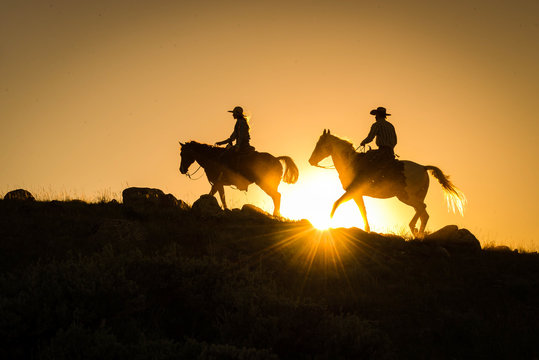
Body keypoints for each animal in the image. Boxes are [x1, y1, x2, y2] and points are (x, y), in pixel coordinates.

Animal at [310, 130, 466, 236]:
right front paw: (367, 230)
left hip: (407, 196)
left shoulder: (352, 191)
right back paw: (417, 233)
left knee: (423, 209)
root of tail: (422, 167)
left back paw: (414, 230)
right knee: (423, 213)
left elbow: (336, 203)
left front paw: (327, 224)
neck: (350, 163)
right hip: (410, 197)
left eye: (320, 145)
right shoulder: (356, 194)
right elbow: (363, 211)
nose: (310, 161)